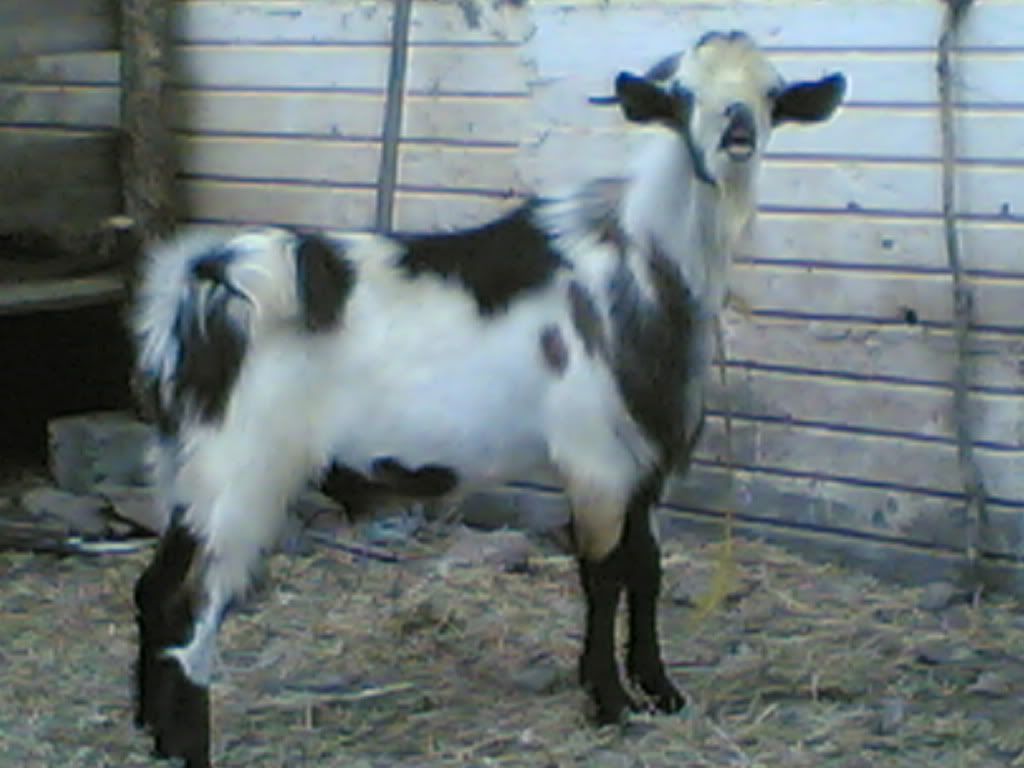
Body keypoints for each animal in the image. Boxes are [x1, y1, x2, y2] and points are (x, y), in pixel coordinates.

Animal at [131, 31, 845, 767]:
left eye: (771, 93)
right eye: (681, 96)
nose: (737, 130)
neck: (642, 265)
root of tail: (197, 286)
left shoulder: (647, 463)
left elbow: (647, 570)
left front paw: (660, 691)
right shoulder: (595, 458)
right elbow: (604, 574)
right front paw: (610, 702)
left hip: (186, 466)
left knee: (155, 590)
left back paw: (154, 734)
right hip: (240, 469)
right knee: (190, 605)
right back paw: (188, 747)